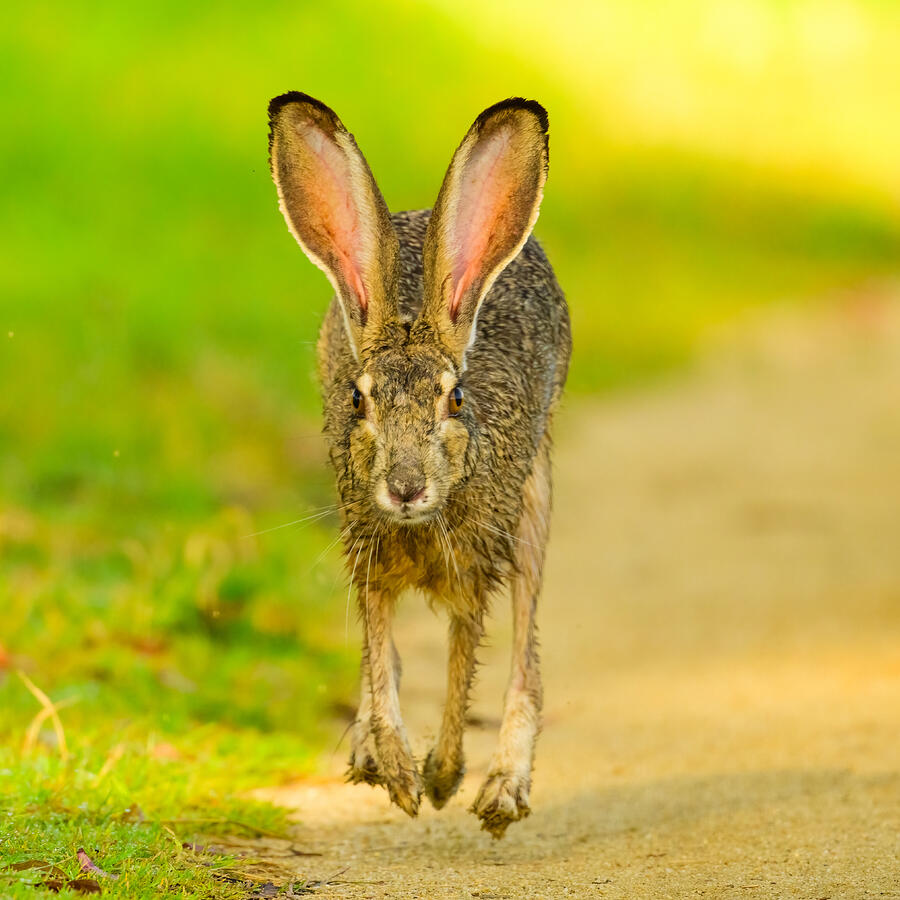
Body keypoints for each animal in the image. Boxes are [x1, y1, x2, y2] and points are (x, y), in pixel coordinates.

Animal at [267, 92, 571, 838]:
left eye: (454, 398)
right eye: (358, 399)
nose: (405, 488)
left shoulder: (473, 570)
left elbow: (464, 666)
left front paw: (440, 776)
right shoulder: (367, 560)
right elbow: (381, 657)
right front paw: (399, 772)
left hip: (534, 503)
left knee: (526, 655)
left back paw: (501, 790)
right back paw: (372, 757)